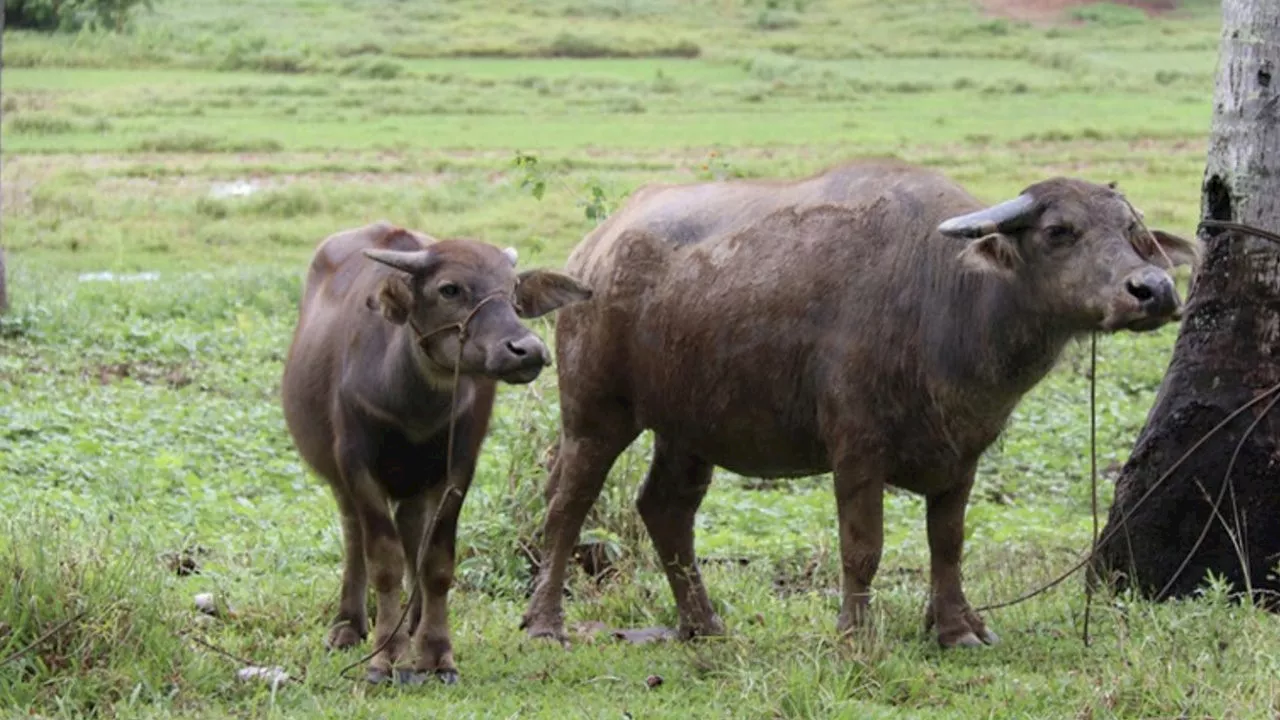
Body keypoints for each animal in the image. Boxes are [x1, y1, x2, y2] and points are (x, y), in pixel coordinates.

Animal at [282, 221, 591, 681]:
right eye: (449, 289)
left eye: (512, 291)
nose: (528, 350)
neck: (412, 400)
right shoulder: (356, 466)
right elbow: (384, 562)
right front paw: (385, 658)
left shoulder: (458, 468)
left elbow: (437, 562)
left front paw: (436, 653)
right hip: (342, 478)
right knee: (354, 536)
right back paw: (348, 625)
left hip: (416, 481)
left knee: (413, 532)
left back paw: (411, 624)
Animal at [519, 159, 1198, 648]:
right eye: (1060, 231)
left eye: (1134, 234)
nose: (1154, 290)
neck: (951, 301)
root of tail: (595, 250)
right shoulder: (856, 449)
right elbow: (863, 545)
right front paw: (857, 635)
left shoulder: (964, 454)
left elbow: (948, 543)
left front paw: (957, 630)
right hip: (596, 412)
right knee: (566, 505)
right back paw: (546, 623)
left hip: (688, 430)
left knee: (665, 509)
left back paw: (702, 625)